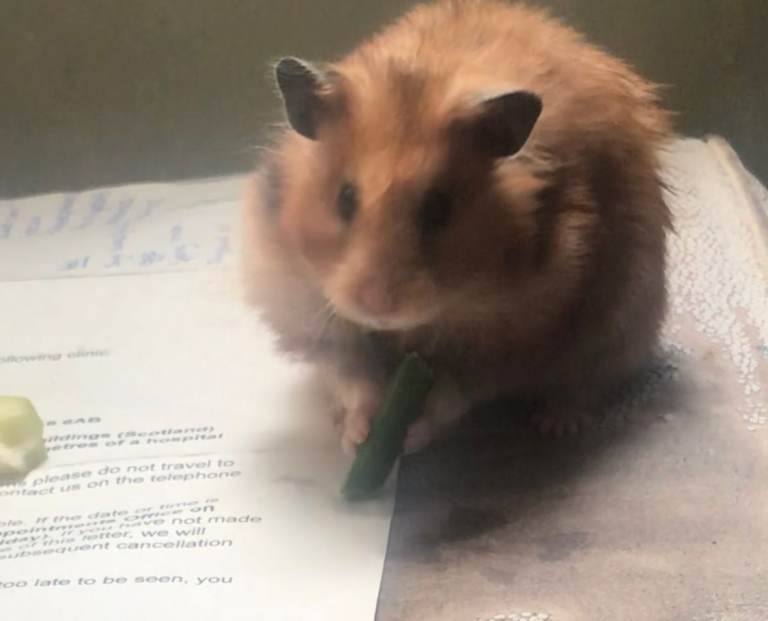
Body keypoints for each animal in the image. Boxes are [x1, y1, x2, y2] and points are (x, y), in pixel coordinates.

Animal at [241, 0, 672, 454]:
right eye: (344, 198)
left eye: (438, 208)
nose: (378, 306)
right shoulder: (311, 313)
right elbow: (354, 377)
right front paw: (358, 438)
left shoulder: (517, 340)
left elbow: (454, 393)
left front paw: (408, 436)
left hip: (621, 324)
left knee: (584, 384)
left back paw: (558, 425)